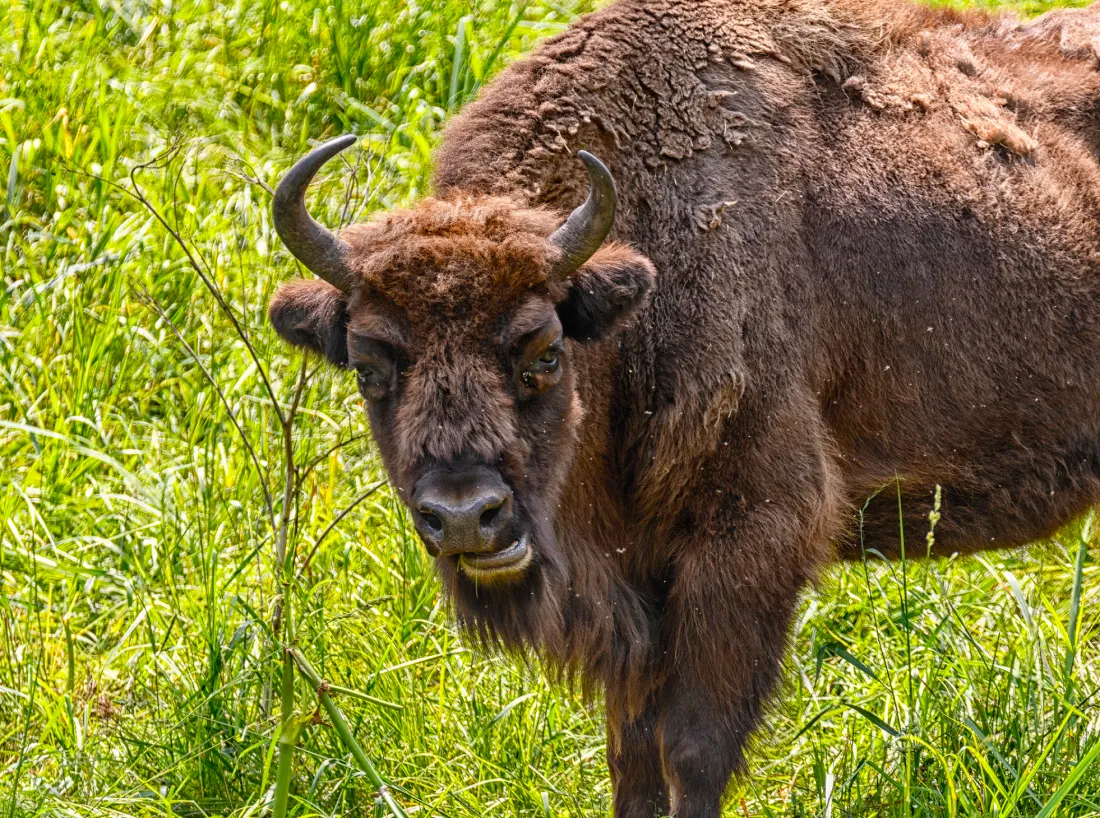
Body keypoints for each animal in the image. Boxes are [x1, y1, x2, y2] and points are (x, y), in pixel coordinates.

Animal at [268, 0, 1100, 813]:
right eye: (370, 368)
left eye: (544, 351)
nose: (467, 516)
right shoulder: (633, 585)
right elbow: (632, 750)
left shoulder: (748, 543)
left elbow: (693, 748)